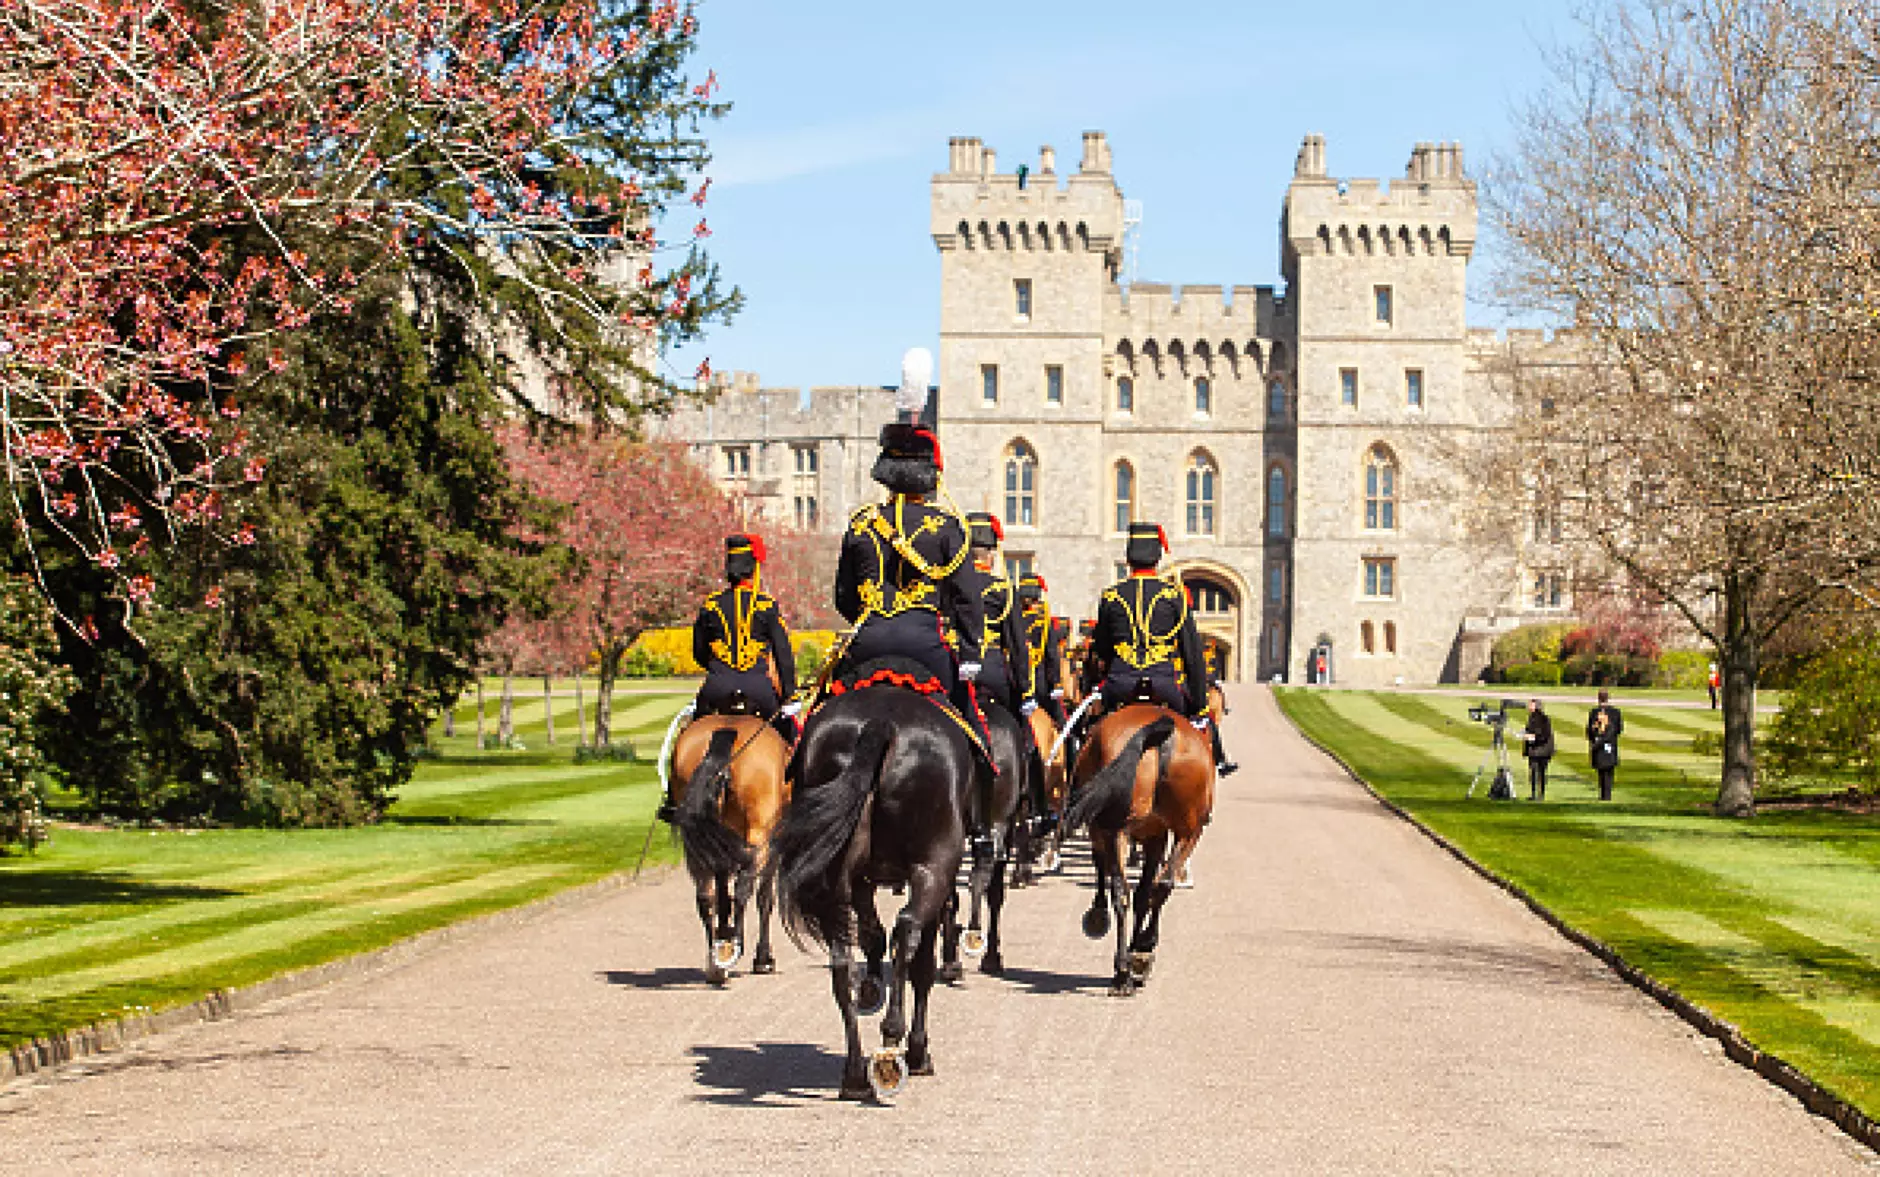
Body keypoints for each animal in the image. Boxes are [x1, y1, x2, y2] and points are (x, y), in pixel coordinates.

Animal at [673, 710, 789, 985]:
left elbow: (722, 894)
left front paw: (723, 935)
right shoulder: (773, 845)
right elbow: (765, 898)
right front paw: (763, 958)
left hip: (695, 845)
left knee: (706, 896)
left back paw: (717, 961)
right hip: (759, 838)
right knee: (744, 888)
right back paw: (734, 948)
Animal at [770, 673, 977, 1098]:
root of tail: (879, 725)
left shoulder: (861, 881)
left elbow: (871, 937)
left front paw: (869, 991)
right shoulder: (933, 877)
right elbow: (921, 963)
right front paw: (918, 1050)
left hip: (838, 882)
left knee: (841, 961)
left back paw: (854, 1074)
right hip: (934, 866)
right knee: (909, 931)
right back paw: (893, 1042)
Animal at [1067, 699, 1210, 992]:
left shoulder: (1139, 834)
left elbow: (1129, 887)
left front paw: (1099, 915)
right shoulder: (1154, 836)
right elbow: (1144, 892)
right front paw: (1138, 950)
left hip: (1119, 830)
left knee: (1125, 891)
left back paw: (1124, 970)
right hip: (1188, 832)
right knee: (1160, 886)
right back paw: (1140, 955)